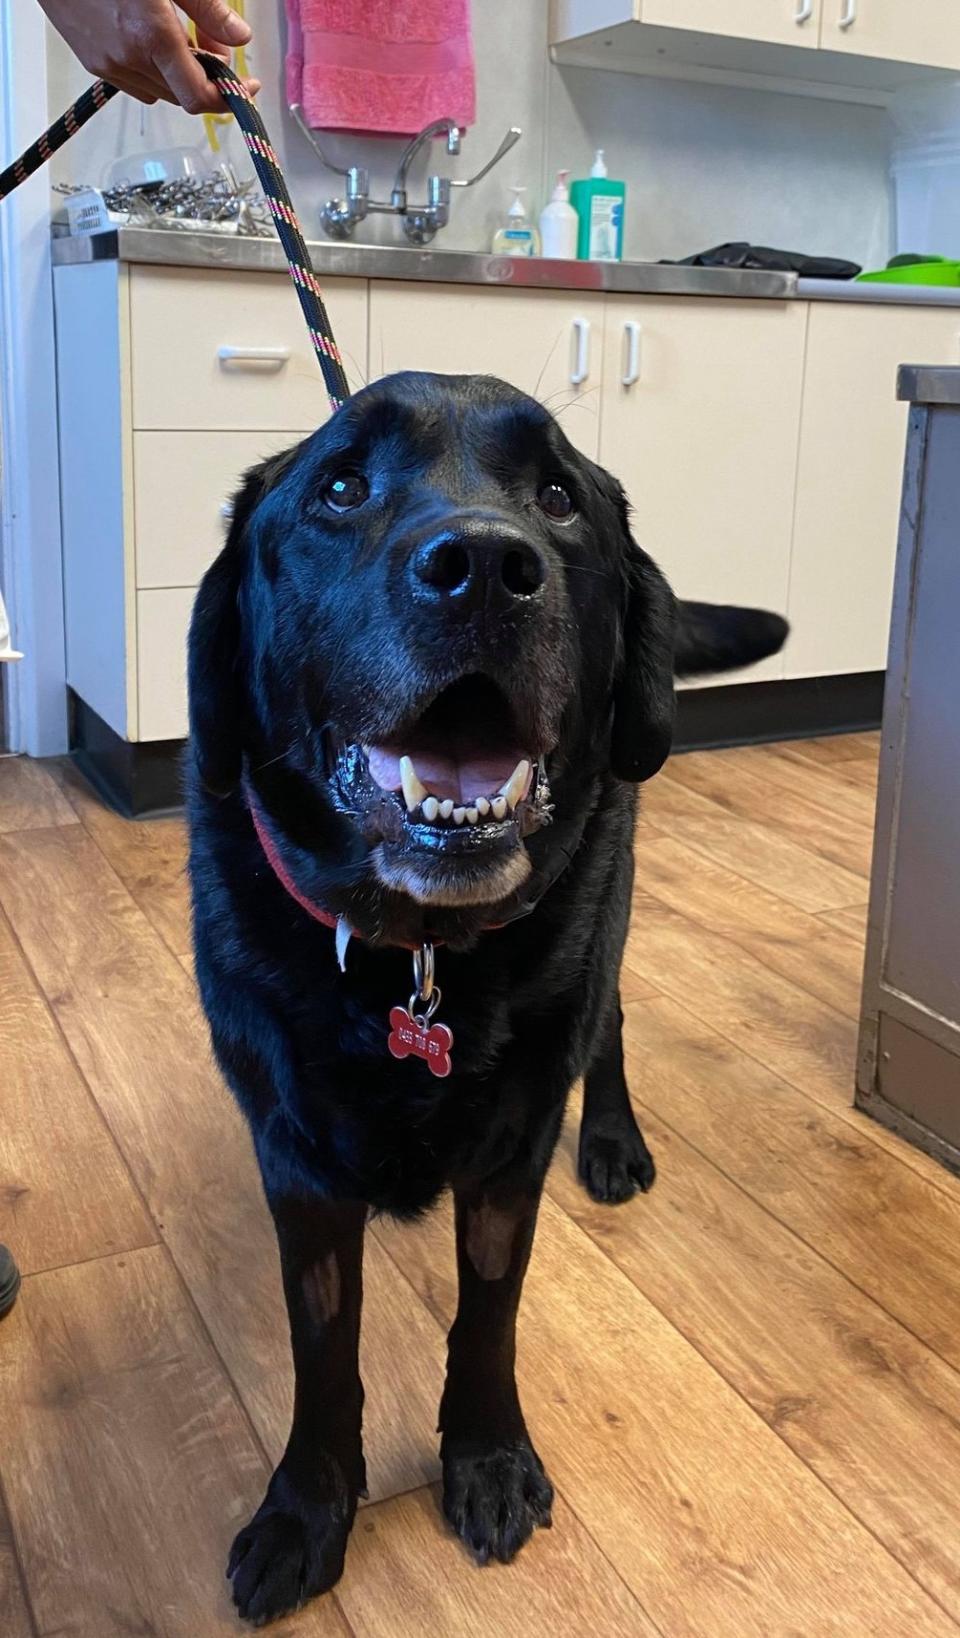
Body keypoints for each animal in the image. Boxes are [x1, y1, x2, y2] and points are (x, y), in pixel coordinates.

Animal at [188, 375, 786, 1624]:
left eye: (558, 499)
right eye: (342, 487)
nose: (481, 567)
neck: (418, 956)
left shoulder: (511, 1155)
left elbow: (488, 1318)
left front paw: (489, 1459)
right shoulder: (299, 1168)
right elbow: (323, 1356)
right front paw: (306, 1511)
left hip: (608, 910)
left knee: (609, 1024)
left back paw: (614, 1139)